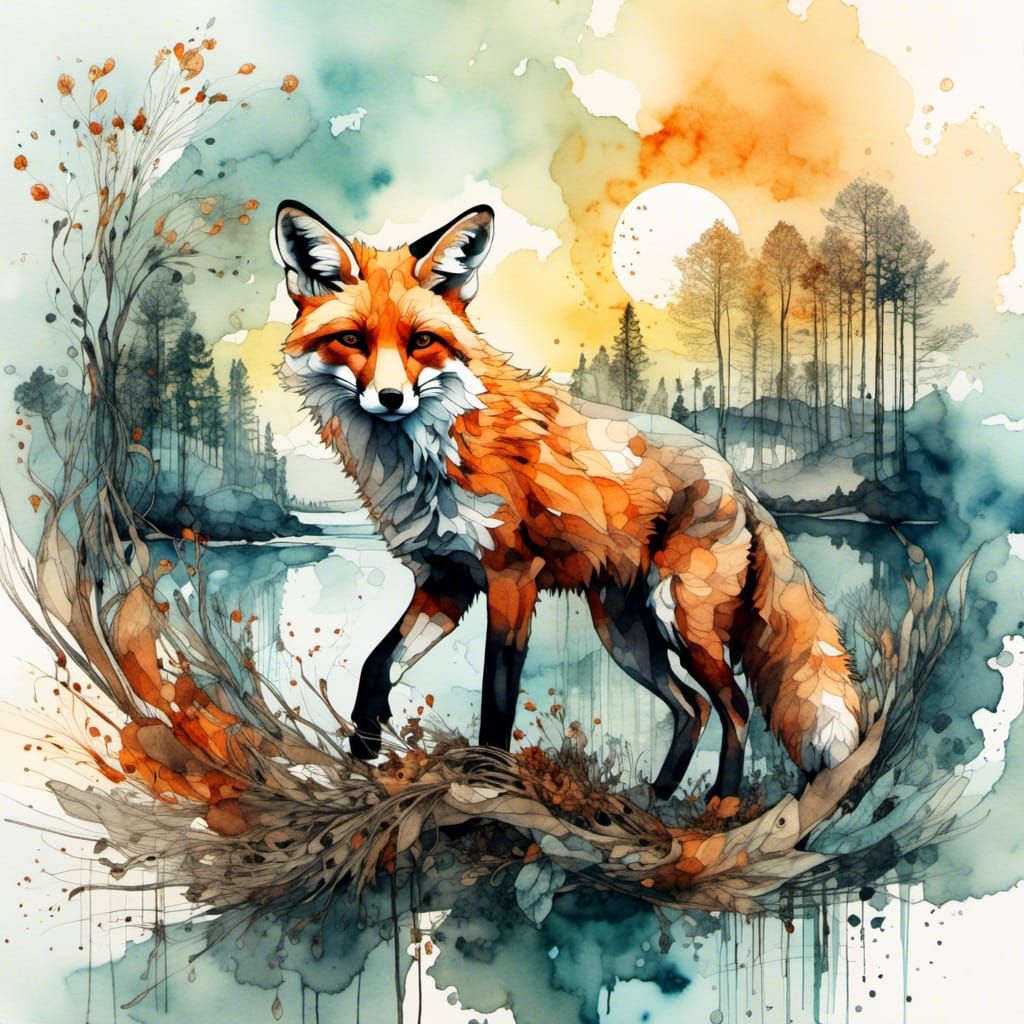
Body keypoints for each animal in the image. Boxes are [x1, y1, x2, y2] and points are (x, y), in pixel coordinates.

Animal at [273, 199, 865, 801]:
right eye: (353, 339)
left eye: (421, 341)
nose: (391, 398)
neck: (434, 452)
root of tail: (736, 476)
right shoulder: (444, 581)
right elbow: (375, 666)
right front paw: (361, 758)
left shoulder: (511, 579)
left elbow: (497, 699)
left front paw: (489, 783)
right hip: (626, 634)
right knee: (692, 707)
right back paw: (657, 794)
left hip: (681, 619)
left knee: (736, 706)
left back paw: (722, 802)